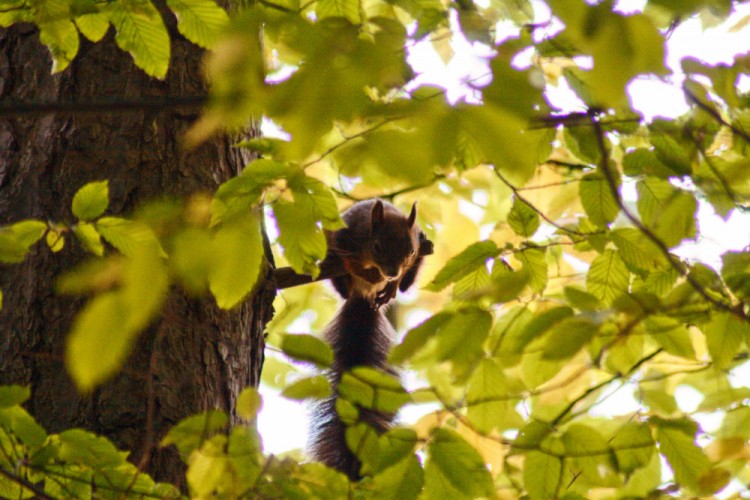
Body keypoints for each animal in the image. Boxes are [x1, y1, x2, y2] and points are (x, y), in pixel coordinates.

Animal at [306, 197, 426, 478]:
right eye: (377, 246)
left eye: (410, 251)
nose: (391, 273)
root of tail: (363, 298)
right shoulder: (344, 239)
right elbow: (348, 260)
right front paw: (366, 271)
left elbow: (402, 279)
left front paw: (392, 285)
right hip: (339, 278)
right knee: (343, 284)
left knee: (407, 284)